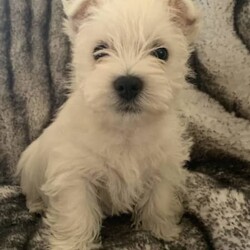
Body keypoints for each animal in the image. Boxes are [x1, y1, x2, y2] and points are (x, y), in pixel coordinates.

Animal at [15, 0, 199, 249]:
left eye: (161, 53)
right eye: (99, 51)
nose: (128, 84)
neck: (125, 130)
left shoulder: (163, 167)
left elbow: (159, 200)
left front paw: (161, 230)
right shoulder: (74, 175)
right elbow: (77, 213)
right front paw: (74, 244)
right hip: (30, 167)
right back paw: (37, 205)